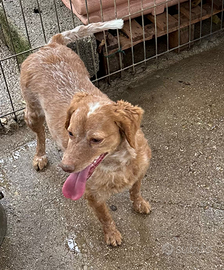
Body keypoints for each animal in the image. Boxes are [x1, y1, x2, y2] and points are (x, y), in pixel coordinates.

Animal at [20, 19, 151, 247]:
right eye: (70, 133)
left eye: (96, 139)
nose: (65, 167)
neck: (117, 164)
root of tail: (51, 44)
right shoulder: (93, 195)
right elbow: (105, 216)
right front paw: (112, 234)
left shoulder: (140, 172)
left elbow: (135, 190)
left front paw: (139, 203)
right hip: (33, 114)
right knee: (40, 136)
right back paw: (40, 156)